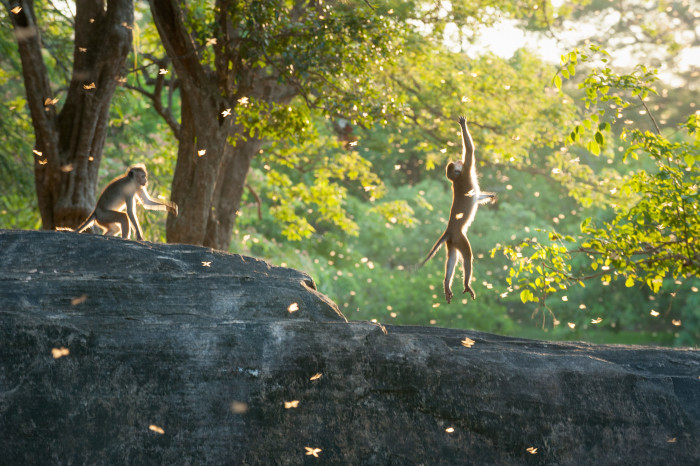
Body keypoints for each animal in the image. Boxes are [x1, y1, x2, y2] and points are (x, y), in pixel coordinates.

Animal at [418, 116, 495, 304]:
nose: (457, 162)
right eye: (457, 164)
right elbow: (470, 150)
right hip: (460, 237)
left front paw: (490, 196)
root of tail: (449, 229)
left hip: (452, 241)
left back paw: (447, 285)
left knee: (451, 260)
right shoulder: (467, 168)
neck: (458, 178)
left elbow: (477, 197)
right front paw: (463, 126)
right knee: (467, 256)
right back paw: (466, 284)